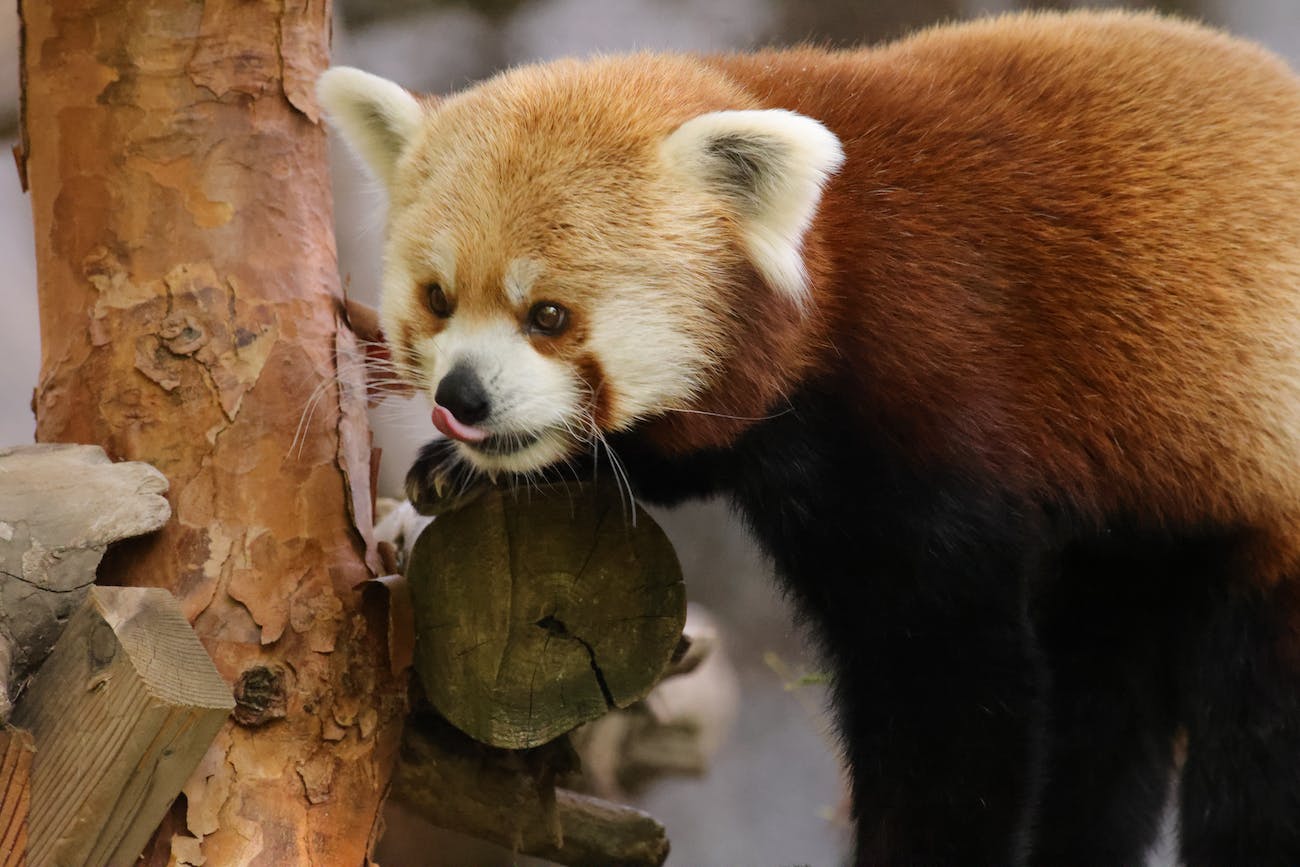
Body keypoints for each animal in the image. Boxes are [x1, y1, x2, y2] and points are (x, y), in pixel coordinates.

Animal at [319, 10, 1300, 863]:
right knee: (1104, 719)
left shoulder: (942, 409)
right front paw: (459, 474)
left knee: (1251, 747)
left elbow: (952, 692)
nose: (463, 397)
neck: (838, 260)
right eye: (439, 298)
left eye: (549, 315)